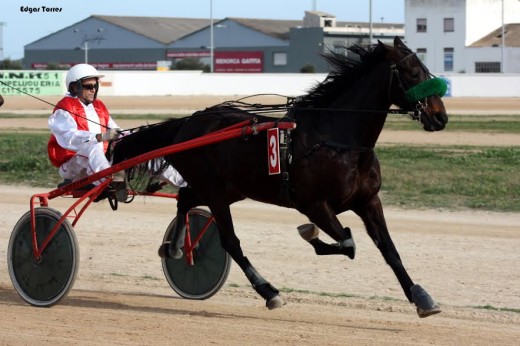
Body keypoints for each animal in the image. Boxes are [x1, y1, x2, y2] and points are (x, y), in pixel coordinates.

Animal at [111, 36, 448, 318]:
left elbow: (389, 249)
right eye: (412, 73)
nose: (440, 116)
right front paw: (310, 234)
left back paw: (176, 248)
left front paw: (421, 297)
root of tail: (186, 124)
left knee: (184, 199)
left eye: (426, 70)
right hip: (216, 193)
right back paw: (268, 291)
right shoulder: (313, 204)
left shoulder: (368, 200)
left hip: (229, 187)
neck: (337, 139)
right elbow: (347, 241)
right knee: (230, 241)